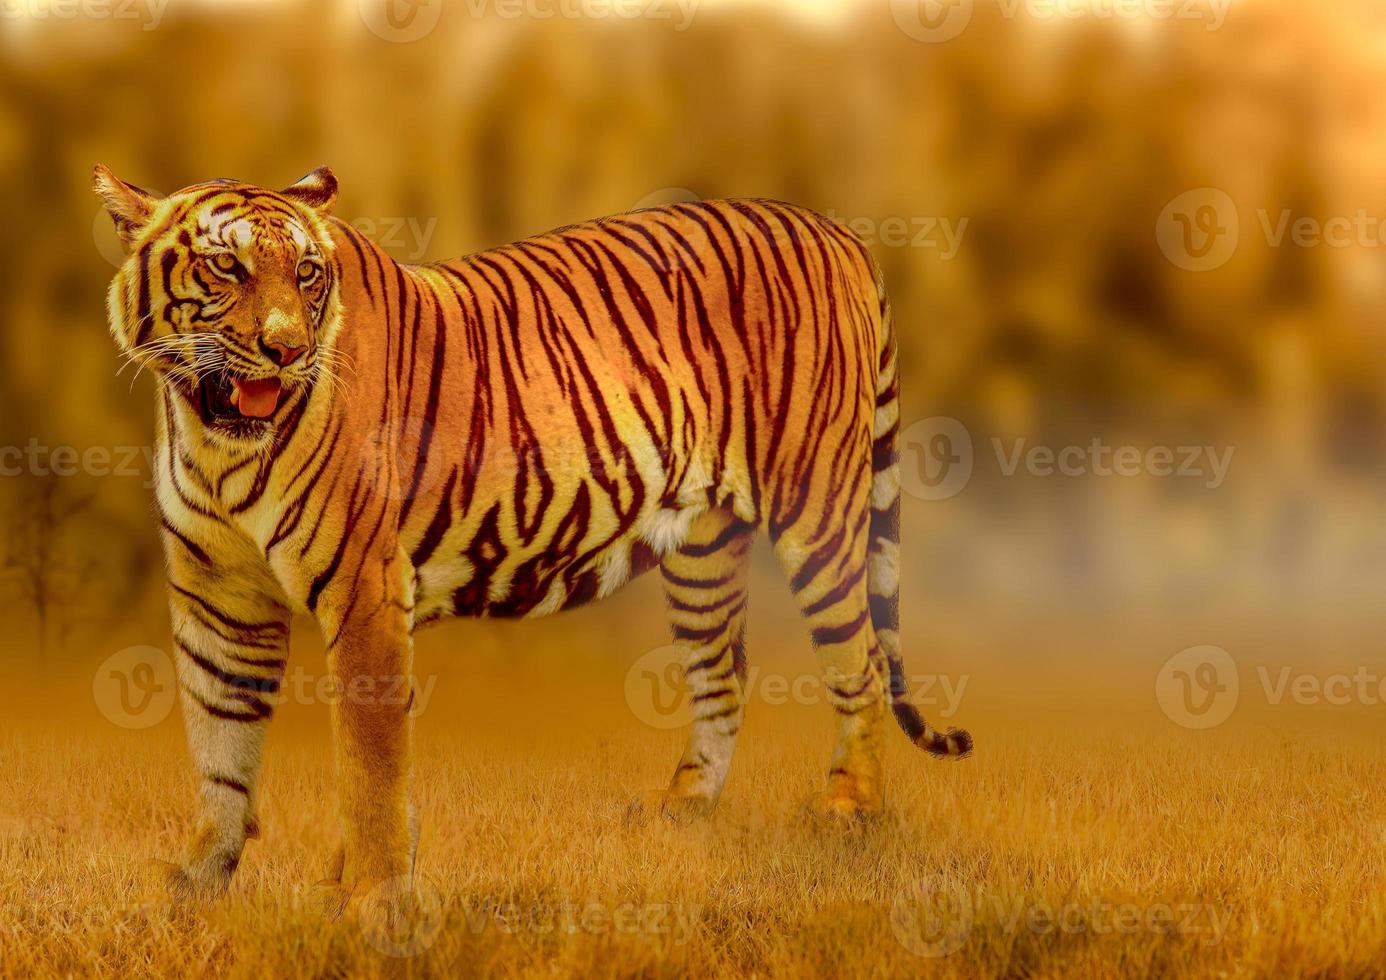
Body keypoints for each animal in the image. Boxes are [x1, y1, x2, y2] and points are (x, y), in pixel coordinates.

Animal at [94, 164, 975, 909]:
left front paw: (375, 901)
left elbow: (370, 768)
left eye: (307, 274)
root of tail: (834, 229)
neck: (217, 442)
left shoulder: (366, 590)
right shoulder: (218, 599)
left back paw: (847, 811)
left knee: (860, 663)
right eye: (227, 268)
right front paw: (198, 885)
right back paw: (682, 811)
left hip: (815, 509)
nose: (287, 350)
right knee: (723, 673)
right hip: (703, 547)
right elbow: (221, 747)